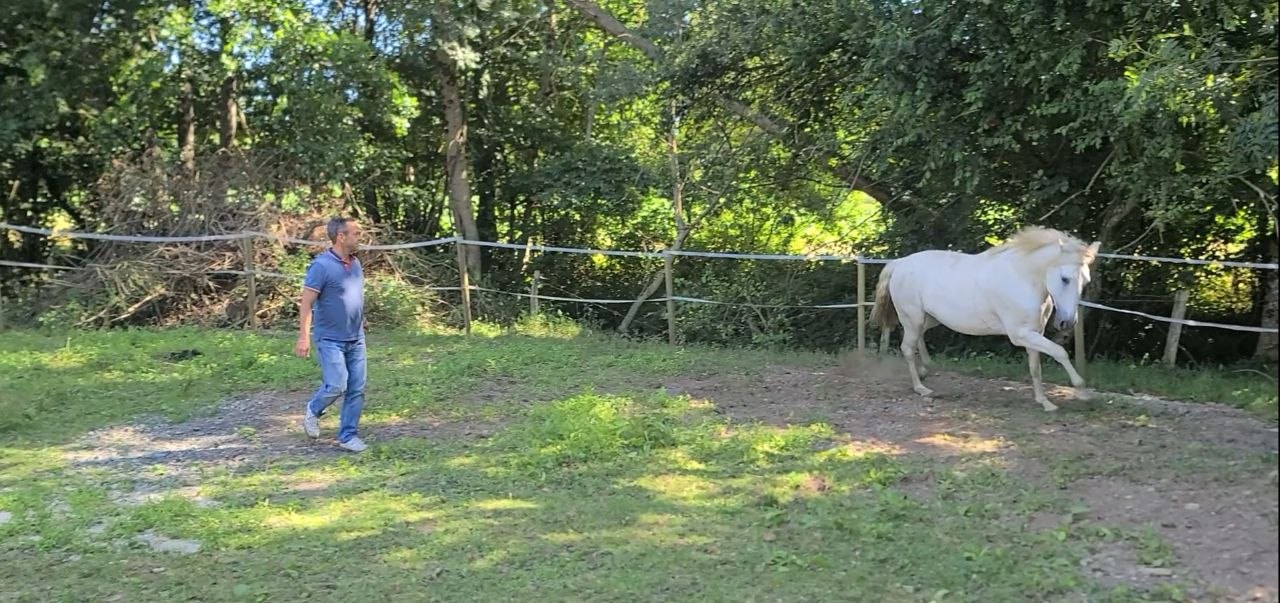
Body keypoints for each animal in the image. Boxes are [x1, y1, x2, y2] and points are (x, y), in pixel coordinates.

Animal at [869, 226, 1100, 411]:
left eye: (1086, 281)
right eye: (1065, 278)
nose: (1067, 323)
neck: (1022, 279)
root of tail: (899, 263)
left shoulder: (1034, 333)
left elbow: (1035, 367)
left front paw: (1045, 402)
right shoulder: (1020, 335)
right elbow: (1060, 352)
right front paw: (1082, 392)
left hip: (929, 318)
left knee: (919, 338)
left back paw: (925, 370)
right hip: (913, 317)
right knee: (907, 348)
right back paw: (921, 388)